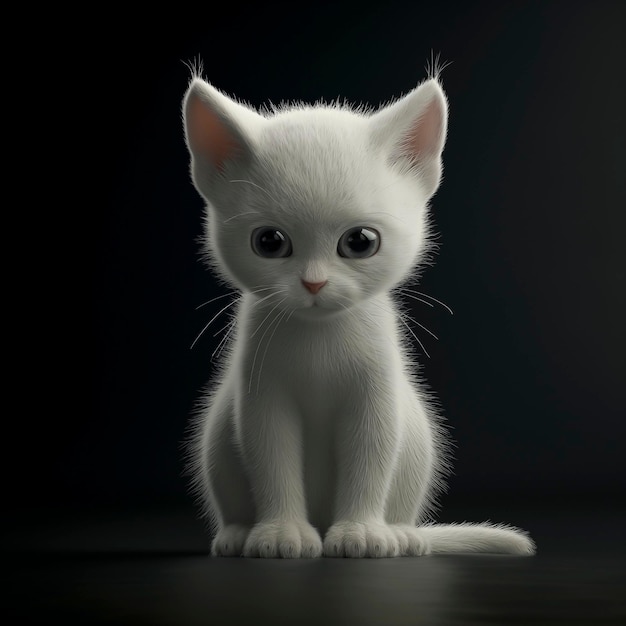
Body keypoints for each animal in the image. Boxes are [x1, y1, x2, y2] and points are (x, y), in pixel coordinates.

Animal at [180, 68, 532, 556]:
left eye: (360, 242)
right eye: (269, 242)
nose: (313, 283)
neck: (318, 336)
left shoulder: (376, 390)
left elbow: (371, 454)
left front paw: (360, 532)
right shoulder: (261, 392)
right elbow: (270, 456)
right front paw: (281, 532)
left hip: (418, 437)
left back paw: (402, 533)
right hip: (216, 434)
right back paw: (235, 533)